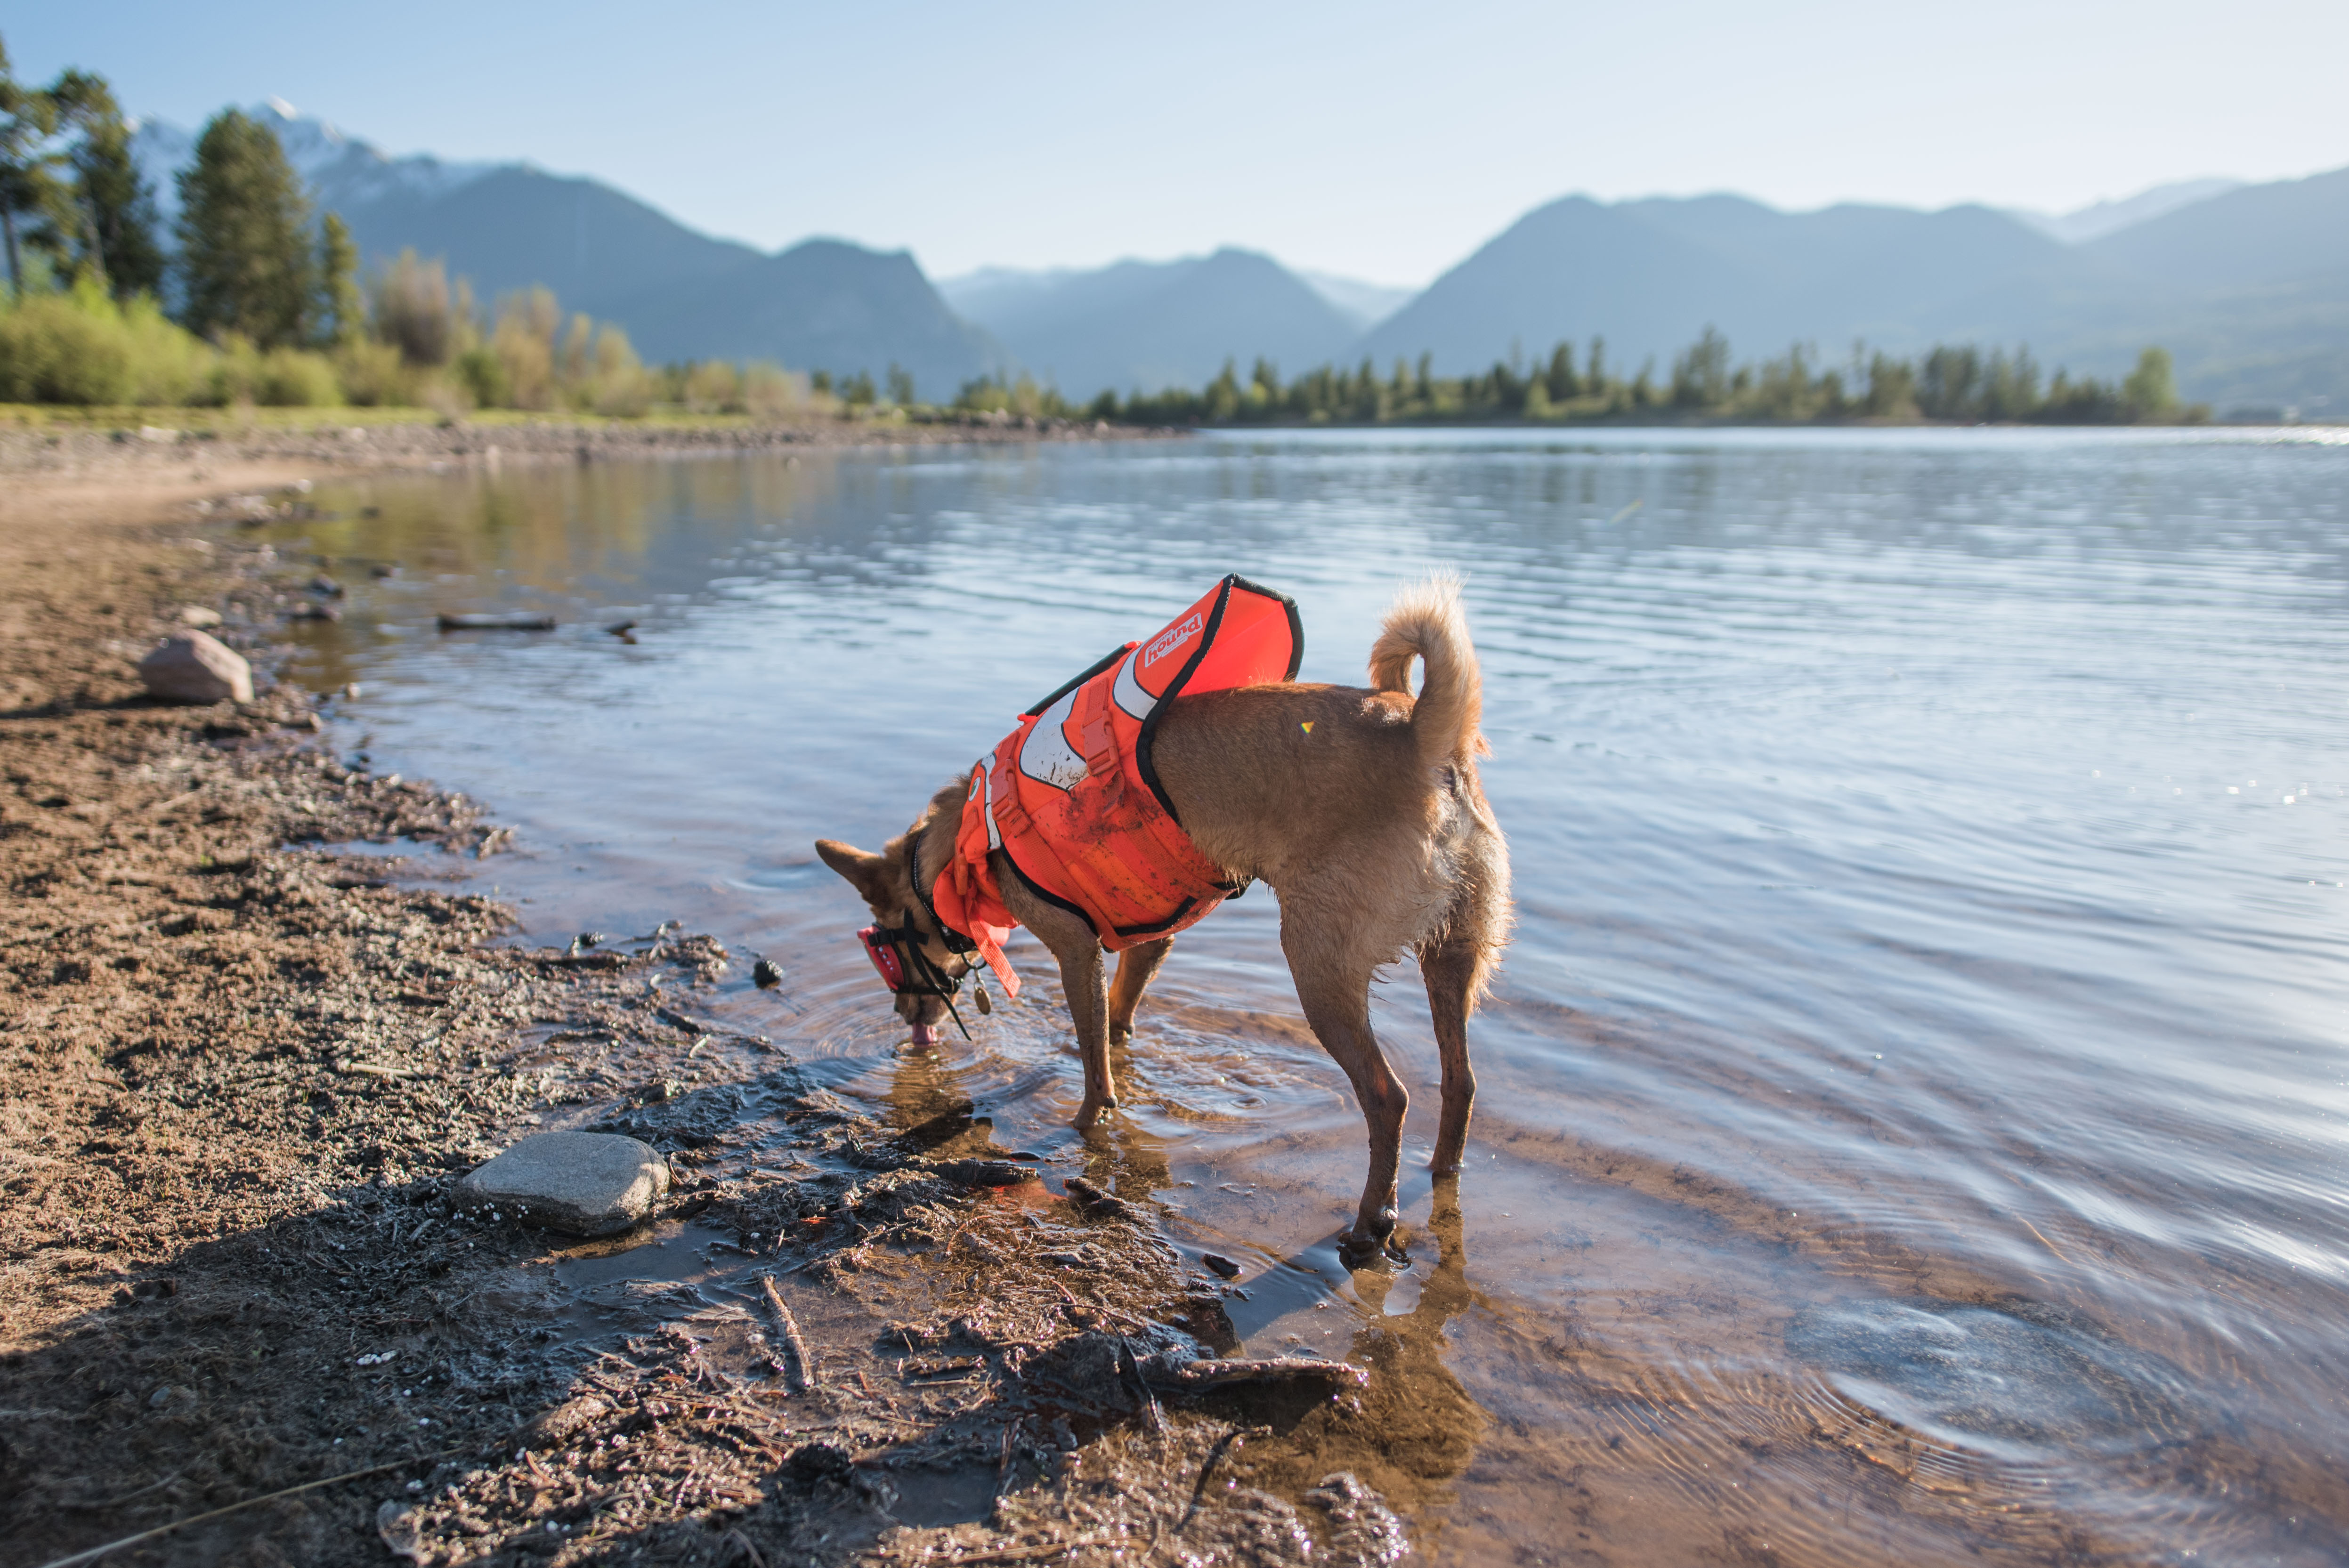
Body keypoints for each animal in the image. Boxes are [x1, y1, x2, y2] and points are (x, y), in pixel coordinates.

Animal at [817, 580, 1513, 1258]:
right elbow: (1116, 1025)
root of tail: (1421, 731)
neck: (967, 837)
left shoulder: (1075, 951)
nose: (905, 1017)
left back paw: (1372, 1223)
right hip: (1453, 957)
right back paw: (1440, 1174)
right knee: (1462, 1082)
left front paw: (1085, 1124)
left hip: (1319, 968)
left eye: (884, 944)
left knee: (1388, 1097)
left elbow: (1094, 1064)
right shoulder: (1149, 942)